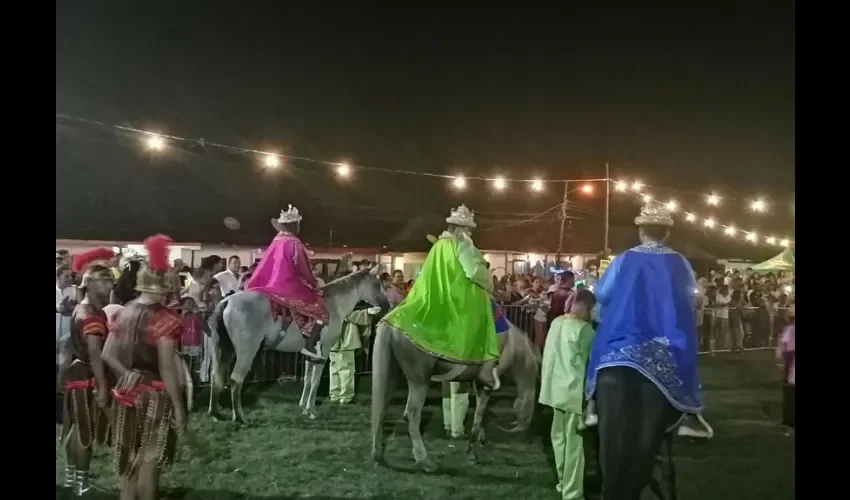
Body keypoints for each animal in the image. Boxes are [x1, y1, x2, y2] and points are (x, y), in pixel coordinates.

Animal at [207, 266, 390, 422]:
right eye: (377, 284)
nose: (387, 305)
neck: (334, 305)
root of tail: (227, 301)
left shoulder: (310, 352)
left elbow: (307, 379)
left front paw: (303, 407)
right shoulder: (323, 352)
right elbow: (315, 380)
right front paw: (312, 410)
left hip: (226, 350)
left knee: (216, 376)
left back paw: (215, 413)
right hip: (247, 352)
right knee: (236, 380)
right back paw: (239, 417)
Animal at [372, 320, 536, 472]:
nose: (524, 427)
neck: (512, 344)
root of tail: (392, 322)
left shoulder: (477, 383)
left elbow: (480, 413)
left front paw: (479, 442)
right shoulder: (486, 386)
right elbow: (479, 414)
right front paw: (472, 453)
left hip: (391, 374)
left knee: (380, 411)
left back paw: (379, 456)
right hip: (419, 380)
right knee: (411, 415)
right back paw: (426, 462)